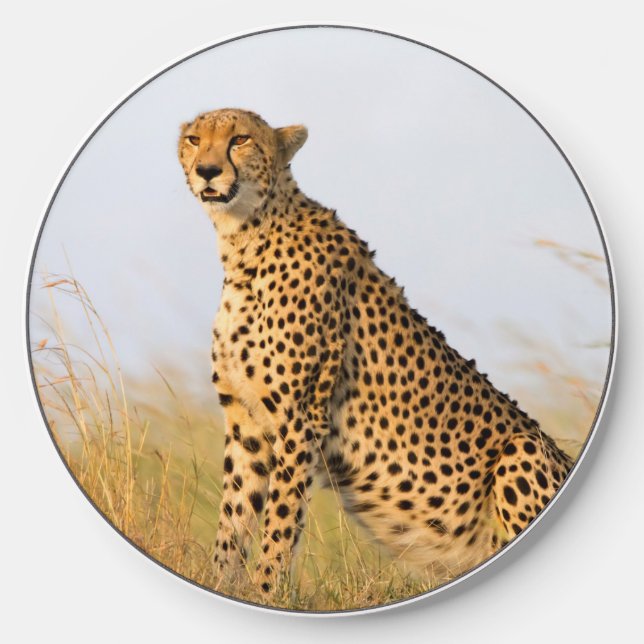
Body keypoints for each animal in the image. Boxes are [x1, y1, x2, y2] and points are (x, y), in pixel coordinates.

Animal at [177, 107, 573, 595]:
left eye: (240, 140)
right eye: (194, 140)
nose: (206, 171)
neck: (245, 239)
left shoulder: (300, 419)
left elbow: (280, 524)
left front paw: (267, 592)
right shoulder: (246, 423)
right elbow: (233, 520)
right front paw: (222, 583)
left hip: (521, 449)